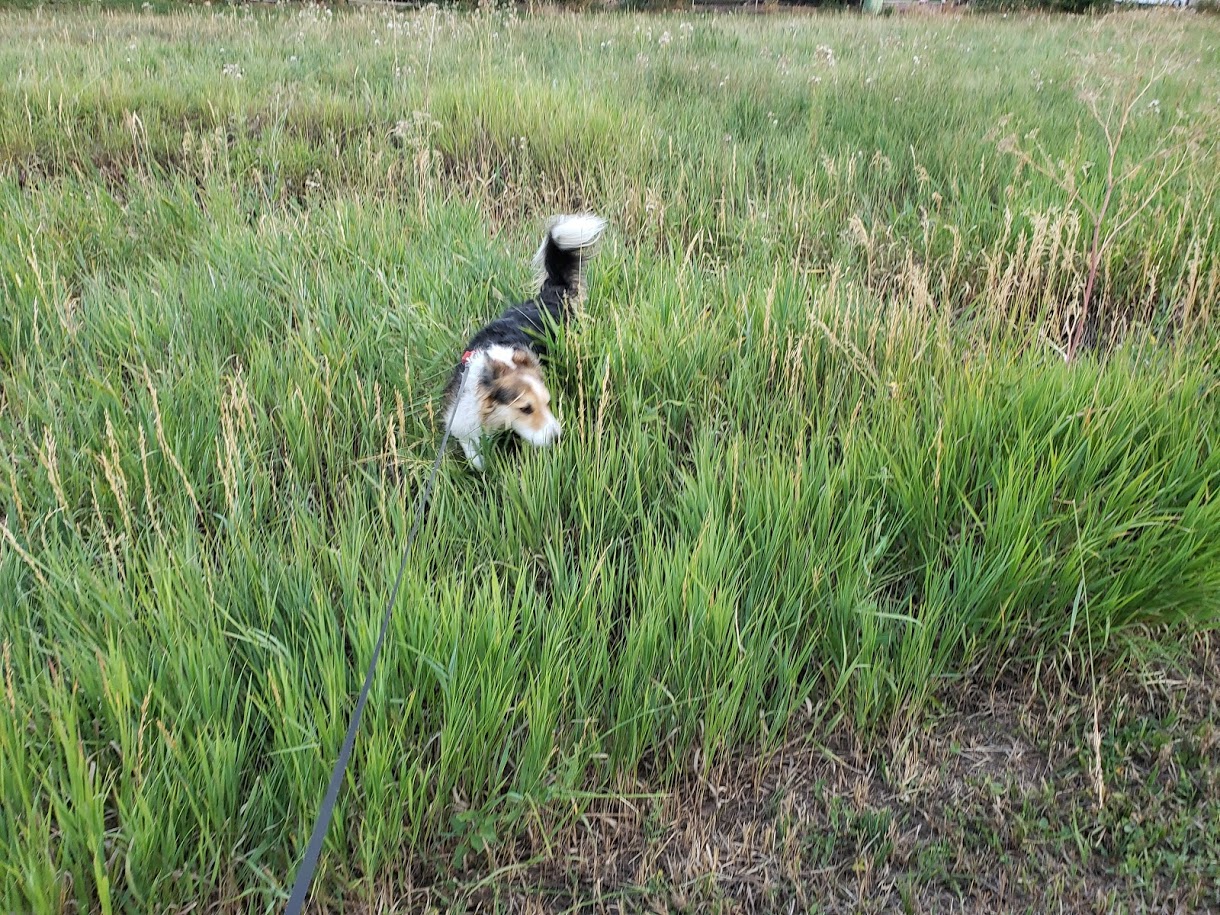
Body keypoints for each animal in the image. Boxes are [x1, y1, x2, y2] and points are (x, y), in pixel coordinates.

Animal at [442, 213, 607, 470]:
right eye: (525, 408)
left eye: (548, 403)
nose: (557, 438)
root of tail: (549, 295)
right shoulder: (462, 417)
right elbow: (474, 452)